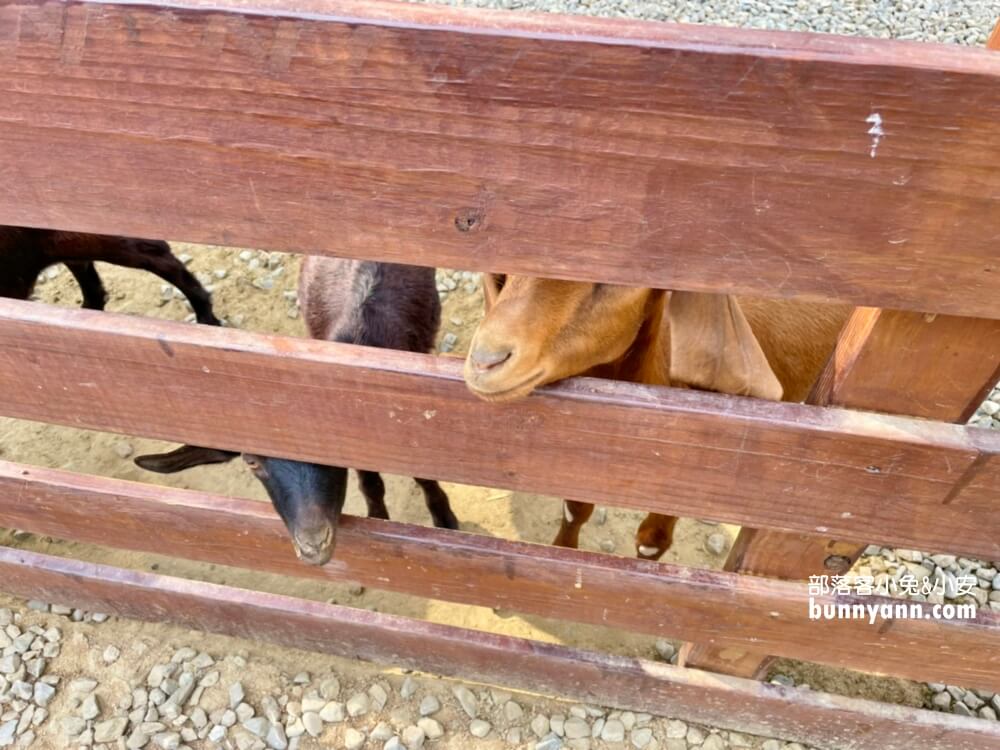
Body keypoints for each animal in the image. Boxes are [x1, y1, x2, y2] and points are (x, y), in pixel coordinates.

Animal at [136, 258, 458, 564]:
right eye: (251, 462)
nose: (313, 547)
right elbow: (370, 483)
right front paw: (378, 516)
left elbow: (423, 475)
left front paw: (444, 518)